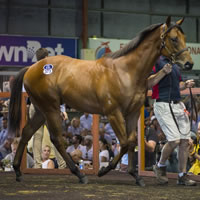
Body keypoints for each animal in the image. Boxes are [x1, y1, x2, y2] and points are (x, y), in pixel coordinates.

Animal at [8, 16, 193, 186]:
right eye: (174, 38)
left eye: (184, 38)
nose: (189, 64)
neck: (126, 72)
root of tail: (31, 68)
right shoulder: (113, 114)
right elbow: (124, 142)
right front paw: (104, 170)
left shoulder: (132, 113)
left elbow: (132, 141)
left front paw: (136, 175)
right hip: (50, 109)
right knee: (57, 139)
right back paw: (79, 174)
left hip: (41, 110)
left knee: (26, 132)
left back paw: (17, 171)